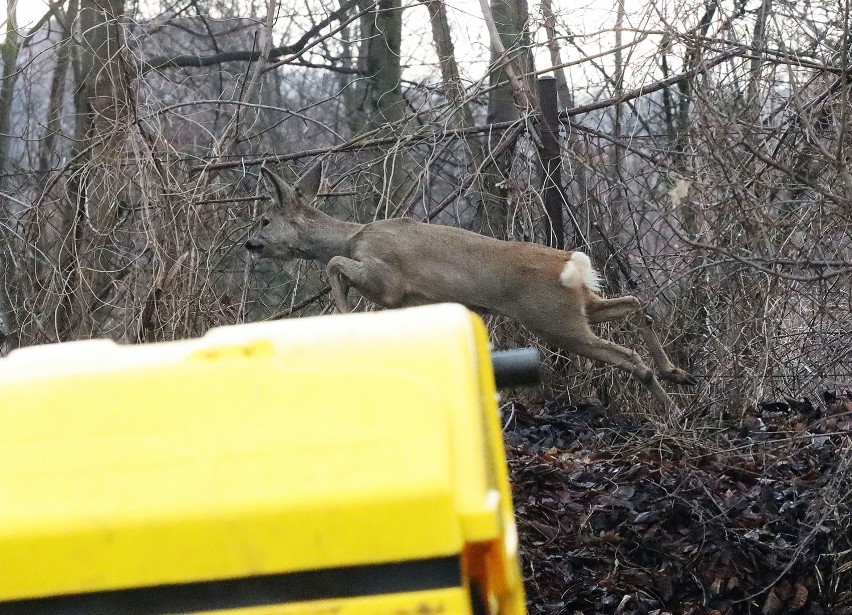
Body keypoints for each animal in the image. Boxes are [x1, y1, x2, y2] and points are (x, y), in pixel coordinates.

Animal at [246, 166, 700, 412]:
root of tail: (570, 265)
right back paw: (678, 375)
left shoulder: (388, 281)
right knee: (634, 302)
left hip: (554, 319)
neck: (351, 237)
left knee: (626, 354)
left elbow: (335, 266)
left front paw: (342, 313)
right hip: (579, 307)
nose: (250, 244)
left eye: (265, 220)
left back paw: (672, 411)